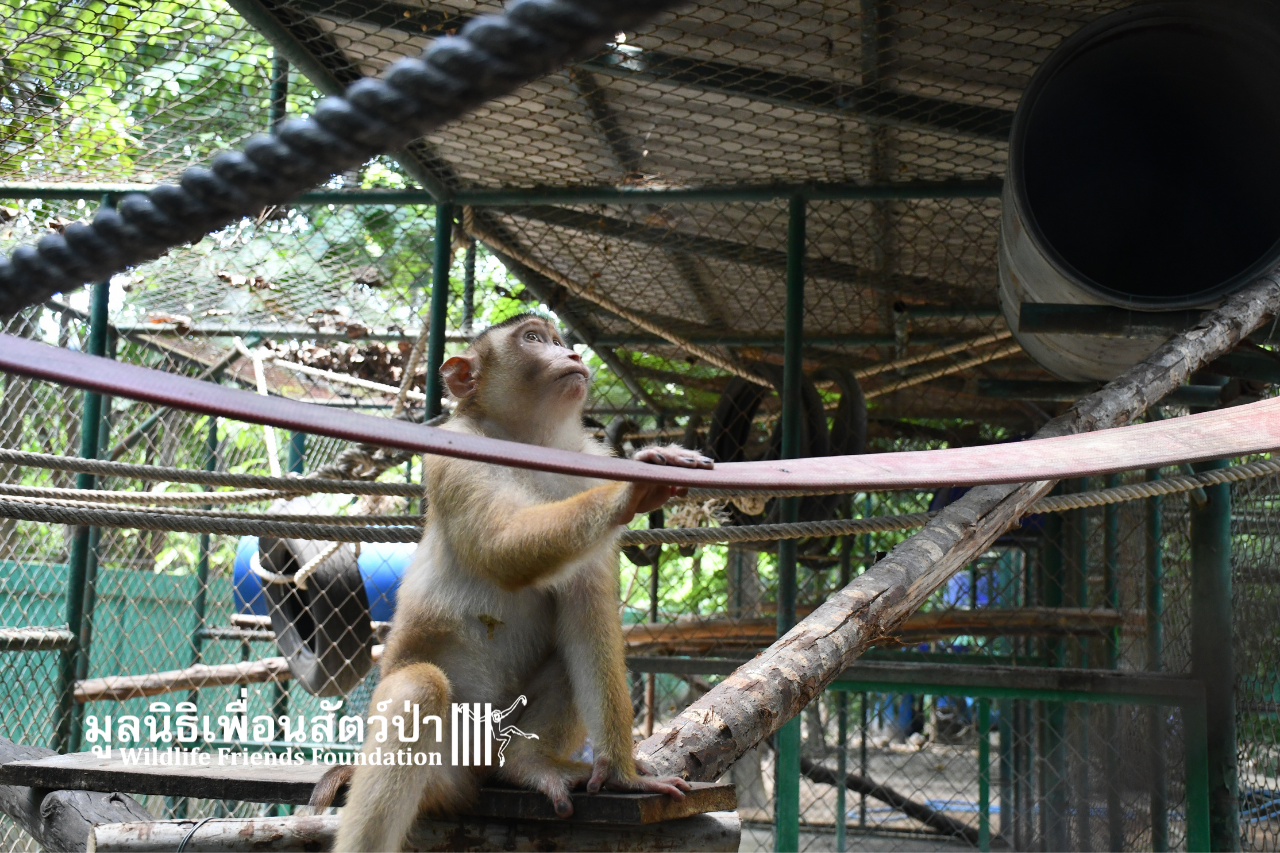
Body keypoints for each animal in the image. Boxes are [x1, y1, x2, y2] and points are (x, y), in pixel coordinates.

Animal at [321, 313, 711, 852]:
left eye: (558, 340)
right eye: (532, 339)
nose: (571, 354)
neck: (532, 444)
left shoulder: (582, 475)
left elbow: (585, 610)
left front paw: (624, 775)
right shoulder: (455, 453)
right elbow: (500, 549)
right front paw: (635, 483)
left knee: (575, 645)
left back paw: (528, 765)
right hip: (443, 770)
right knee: (418, 689)